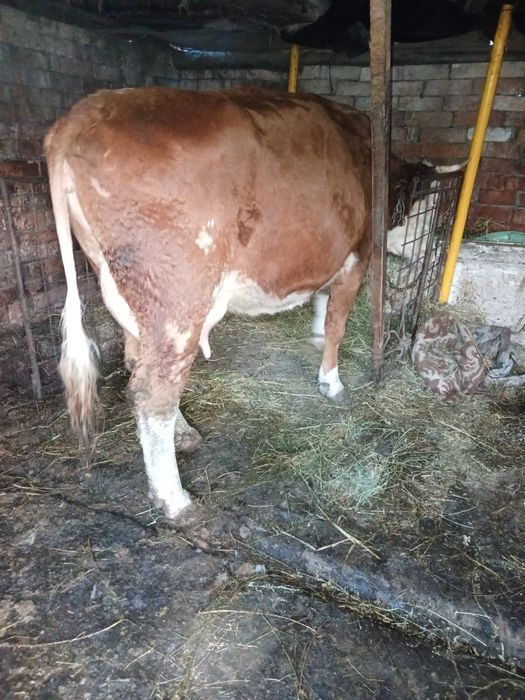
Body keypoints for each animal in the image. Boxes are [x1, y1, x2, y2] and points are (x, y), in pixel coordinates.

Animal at [44, 86, 461, 520]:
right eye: (428, 209)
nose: (430, 248)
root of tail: (87, 110)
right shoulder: (357, 257)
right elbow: (338, 325)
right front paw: (331, 381)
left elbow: (321, 302)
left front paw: (314, 338)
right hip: (179, 302)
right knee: (152, 393)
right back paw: (175, 500)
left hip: (128, 293)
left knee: (139, 368)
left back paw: (185, 435)